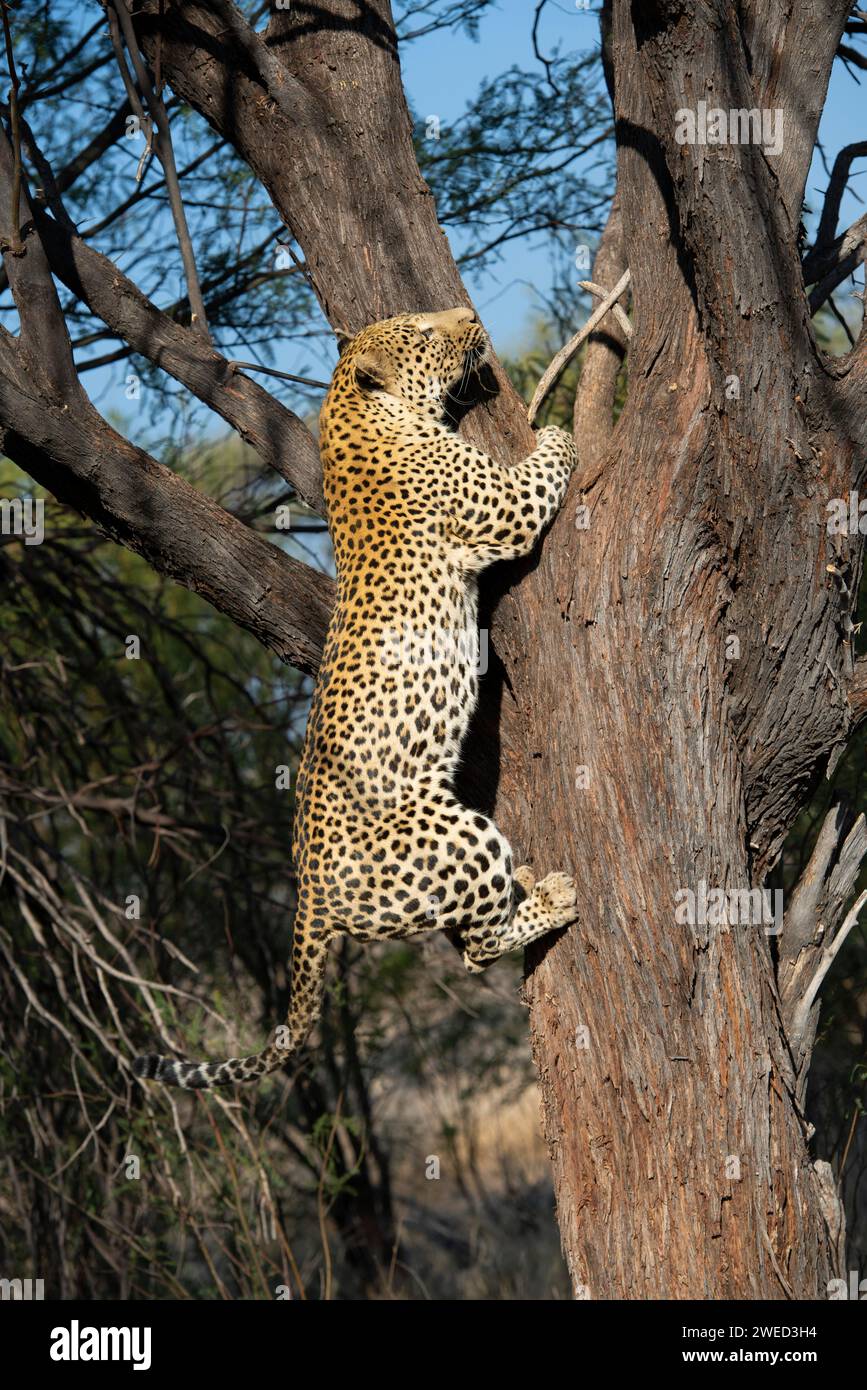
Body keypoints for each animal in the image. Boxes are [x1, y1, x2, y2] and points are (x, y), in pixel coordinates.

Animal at [134, 306, 578, 1089]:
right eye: (423, 333)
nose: (469, 315)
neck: (353, 411)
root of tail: (308, 894)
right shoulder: (499, 511)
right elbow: (537, 477)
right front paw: (559, 431)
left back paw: (529, 885)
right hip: (455, 835)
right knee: (478, 950)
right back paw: (549, 899)